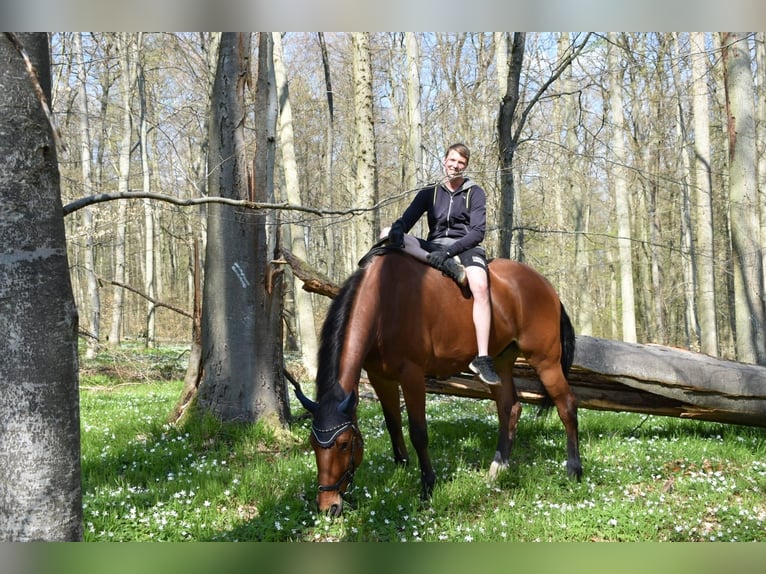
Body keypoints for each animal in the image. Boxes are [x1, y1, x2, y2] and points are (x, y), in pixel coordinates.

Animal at [294, 252, 584, 516]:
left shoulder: (411, 375)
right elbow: (392, 425)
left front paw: (428, 486)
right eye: (312, 443)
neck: (382, 303)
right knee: (509, 408)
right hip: (500, 362)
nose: (328, 506)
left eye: (344, 444)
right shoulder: (380, 377)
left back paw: (574, 470)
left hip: (545, 360)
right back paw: (498, 467)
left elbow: (418, 432)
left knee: (566, 406)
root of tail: (546, 286)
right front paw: (401, 469)